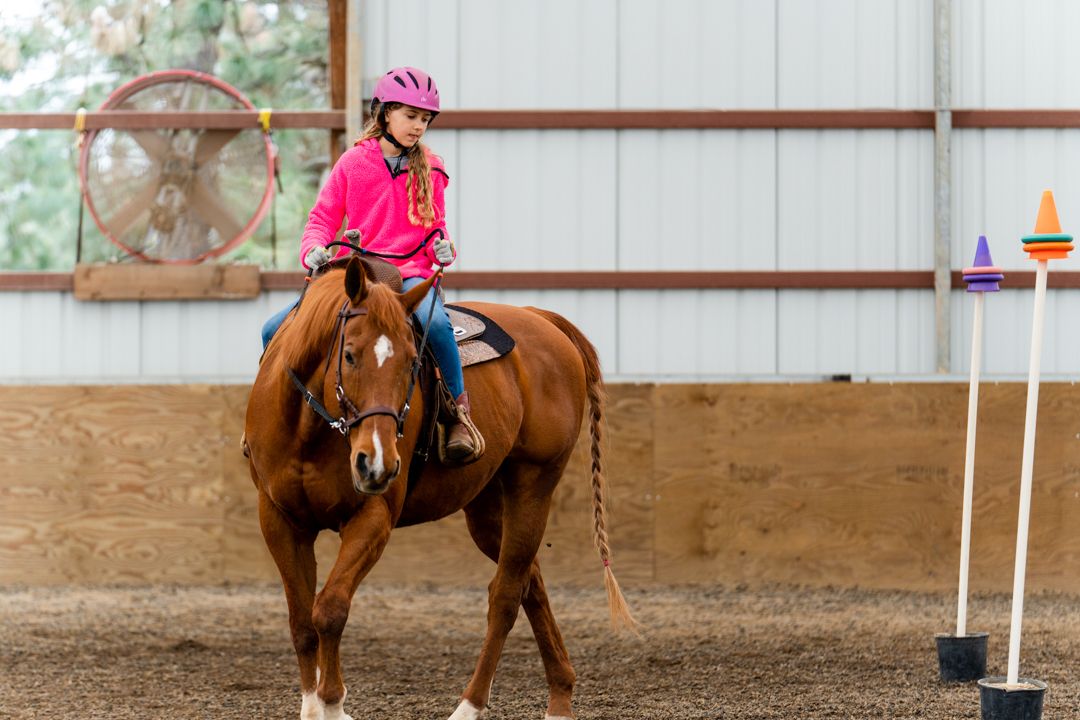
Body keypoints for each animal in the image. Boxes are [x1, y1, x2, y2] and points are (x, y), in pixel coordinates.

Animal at [244, 256, 635, 720]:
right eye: (350, 355)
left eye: (413, 361)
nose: (378, 463)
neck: (311, 428)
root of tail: (542, 319)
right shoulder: (279, 520)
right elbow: (302, 621)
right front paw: (312, 706)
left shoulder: (372, 518)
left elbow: (330, 610)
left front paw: (333, 704)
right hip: (486, 507)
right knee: (530, 581)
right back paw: (559, 697)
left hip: (534, 482)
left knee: (506, 595)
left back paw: (470, 705)